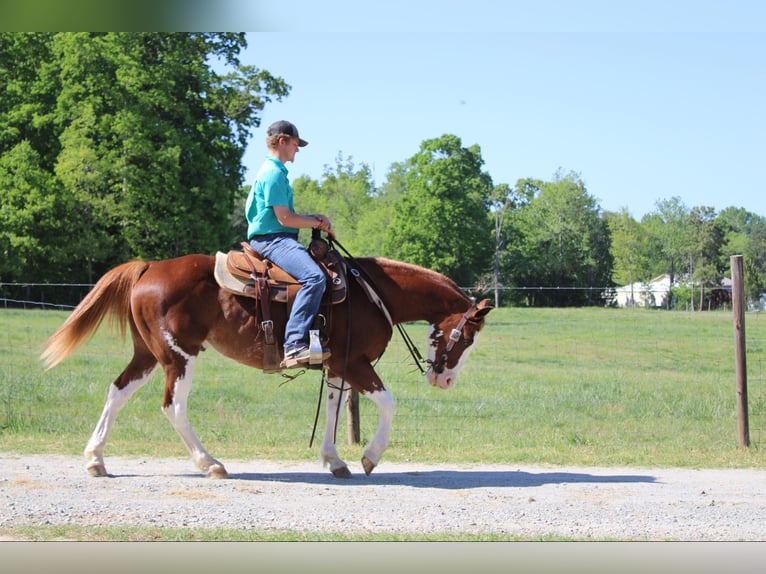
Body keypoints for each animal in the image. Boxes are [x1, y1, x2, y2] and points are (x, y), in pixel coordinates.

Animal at [42, 254, 496, 480]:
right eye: (468, 337)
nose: (445, 379)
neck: (371, 292)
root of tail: (149, 267)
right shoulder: (356, 363)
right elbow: (387, 404)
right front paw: (370, 457)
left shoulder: (338, 365)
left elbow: (333, 410)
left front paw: (335, 461)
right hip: (179, 355)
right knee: (174, 406)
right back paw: (210, 464)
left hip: (149, 355)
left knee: (118, 391)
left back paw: (96, 459)